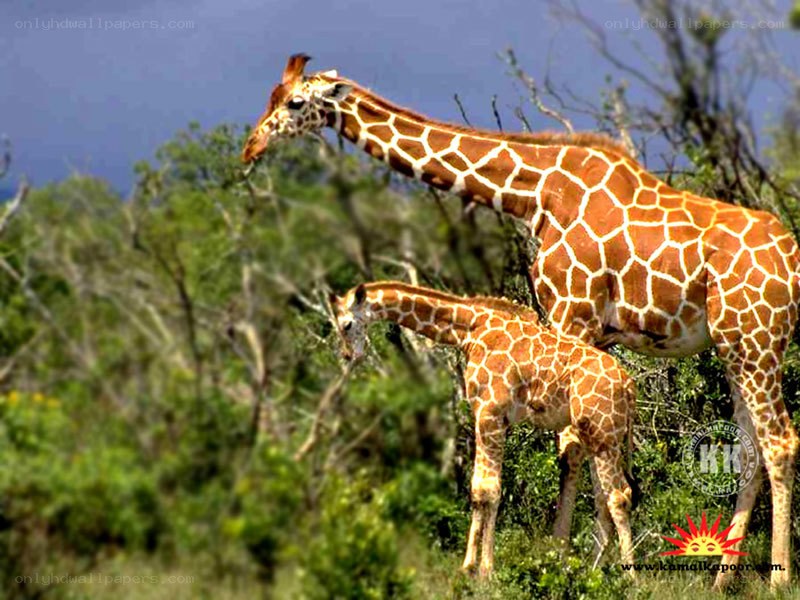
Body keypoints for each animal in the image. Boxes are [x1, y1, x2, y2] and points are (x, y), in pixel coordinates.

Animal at [329, 281, 636, 577]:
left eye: (346, 324)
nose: (348, 355)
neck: (470, 330)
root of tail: (629, 384)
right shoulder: (489, 416)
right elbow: (478, 489)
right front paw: (468, 567)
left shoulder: (489, 412)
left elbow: (489, 489)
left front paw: (486, 571)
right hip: (596, 435)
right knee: (603, 499)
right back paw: (590, 574)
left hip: (604, 435)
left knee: (619, 497)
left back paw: (630, 580)